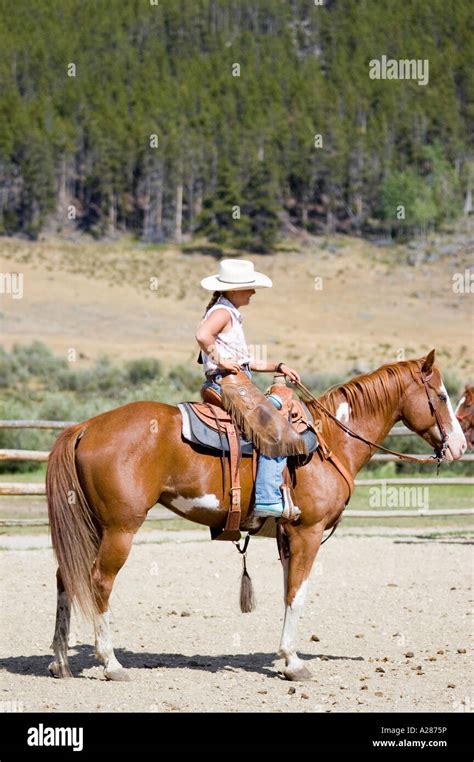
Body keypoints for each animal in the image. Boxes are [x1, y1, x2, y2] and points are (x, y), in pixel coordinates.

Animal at [46, 348, 464, 680]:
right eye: (442, 395)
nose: (460, 446)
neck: (329, 441)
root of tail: (85, 426)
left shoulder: (287, 537)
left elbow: (289, 591)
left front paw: (288, 656)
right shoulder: (308, 533)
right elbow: (298, 592)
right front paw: (293, 663)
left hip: (93, 525)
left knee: (65, 577)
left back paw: (61, 662)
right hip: (120, 528)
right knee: (99, 581)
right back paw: (111, 663)